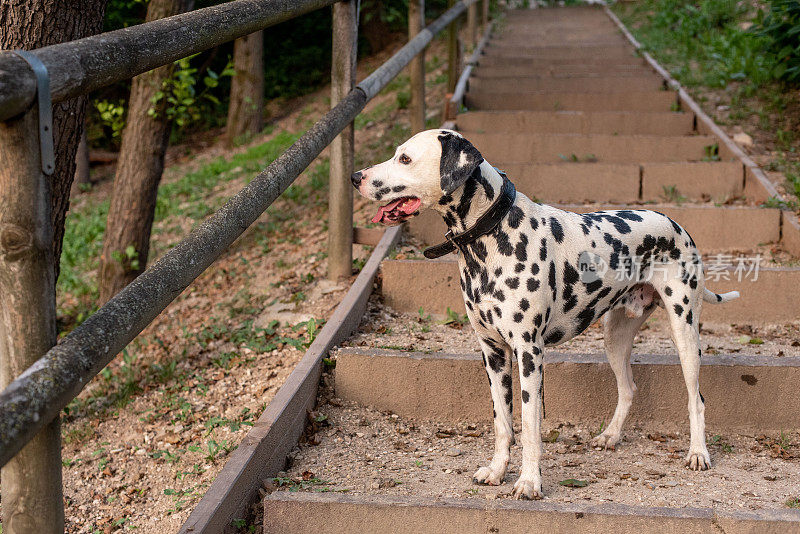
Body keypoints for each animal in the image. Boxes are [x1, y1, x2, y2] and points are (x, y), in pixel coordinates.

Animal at [354, 130, 740, 502]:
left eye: (405, 158)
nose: (357, 176)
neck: (494, 235)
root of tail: (676, 225)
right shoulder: (493, 354)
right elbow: (503, 424)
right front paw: (497, 471)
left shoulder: (529, 353)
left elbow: (529, 426)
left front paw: (528, 482)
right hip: (615, 338)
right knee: (628, 387)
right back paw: (611, 436)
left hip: (685, 333)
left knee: (696, 400)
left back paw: (698, 453)